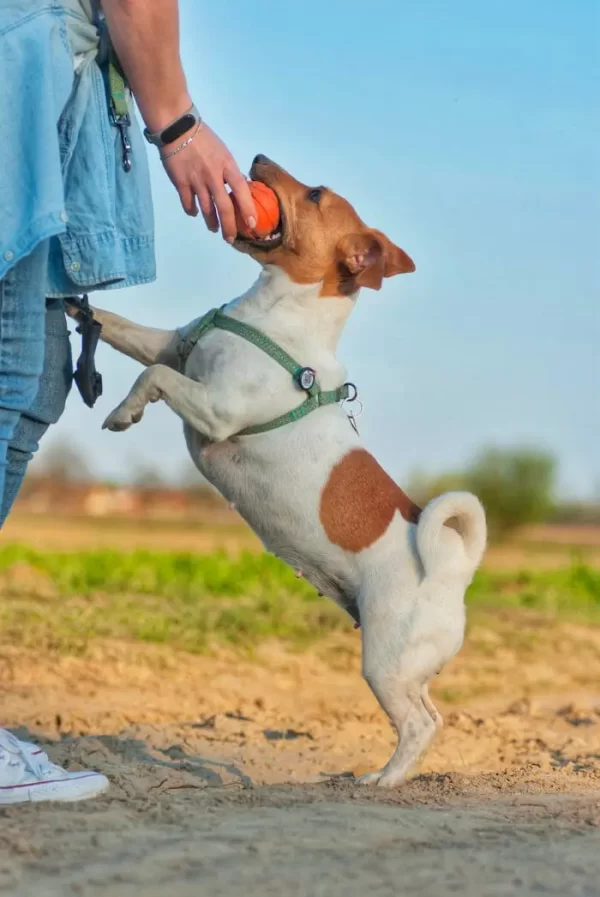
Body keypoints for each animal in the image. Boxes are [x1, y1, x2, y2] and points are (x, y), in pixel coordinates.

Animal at [72, 158, 488, 788]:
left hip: (386, 661)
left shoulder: (215, 409)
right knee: (432, 712)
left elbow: (154, 380)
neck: (272, 314)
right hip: (403, 665)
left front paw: (124, 411)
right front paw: (76, 306)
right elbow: (120, 328)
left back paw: (382, 780)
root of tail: (453, 566)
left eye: (314, 194)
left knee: (420, 725)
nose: (257, 160)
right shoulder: (170, 345)